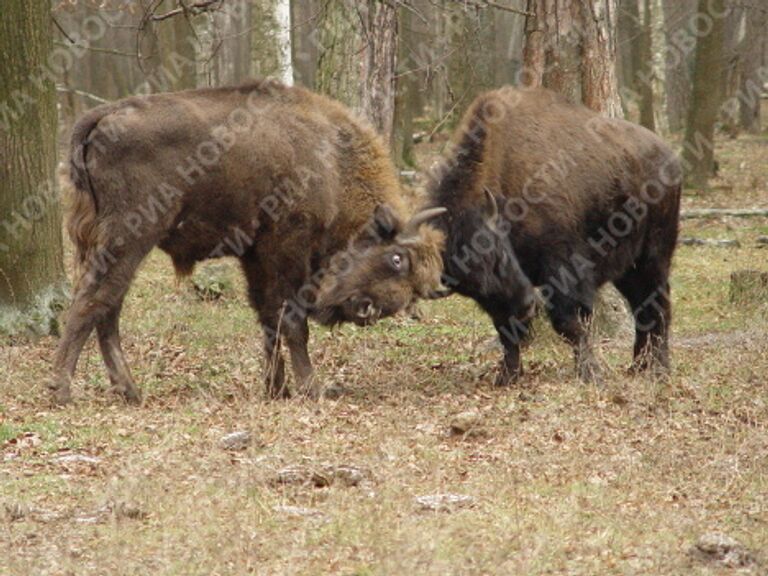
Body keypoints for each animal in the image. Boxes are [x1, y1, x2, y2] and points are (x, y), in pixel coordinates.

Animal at [52, 80, 444, 404]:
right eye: (396, 259)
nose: (366, 310)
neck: (331, 160)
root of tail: (104, 115)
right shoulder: (288, 249)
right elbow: (292, 321)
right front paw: (311, 388)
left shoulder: (254, 255)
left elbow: (267, 317)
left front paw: (276, 388)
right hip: (130, 236)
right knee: (93, 301)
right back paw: (64, 392)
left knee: (108, 307)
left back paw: (129, 391)